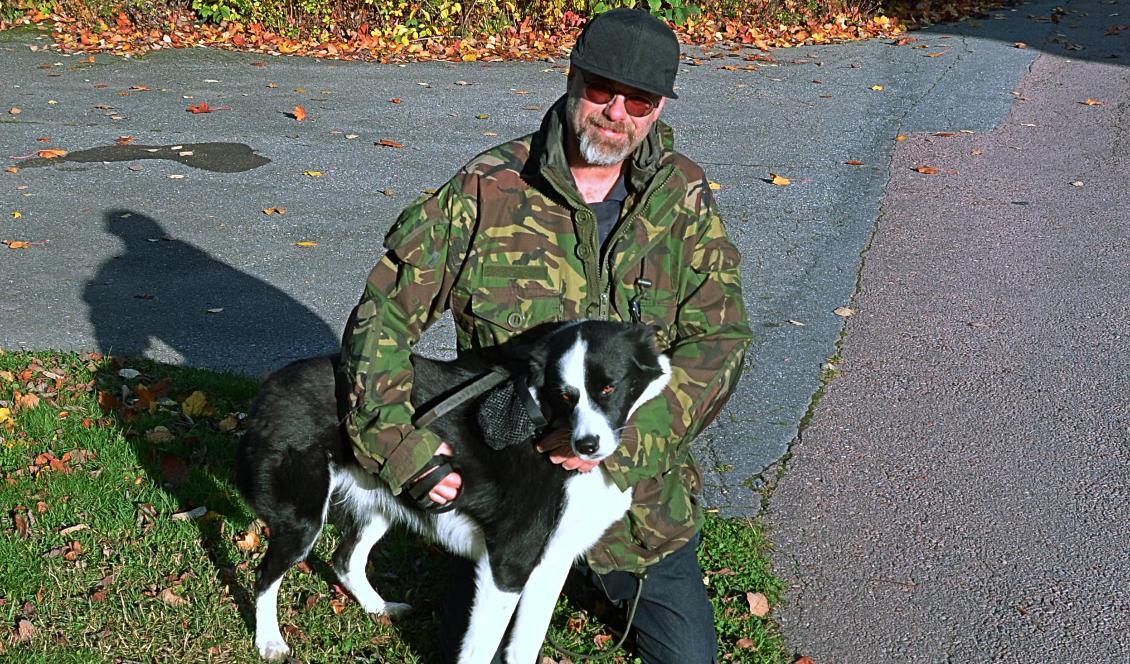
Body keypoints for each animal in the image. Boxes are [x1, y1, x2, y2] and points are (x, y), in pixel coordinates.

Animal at [232, 318, 664, 659]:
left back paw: (378, 608)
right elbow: (481, 646)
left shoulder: (551, 563)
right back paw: (269, 642)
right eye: (565, 394)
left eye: (608, 389)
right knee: (265, 576)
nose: (587, 446)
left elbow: (524, 646)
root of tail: (270, 386)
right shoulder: (508, 562)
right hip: (304, 519)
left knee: (345, 560)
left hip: (388, 496)